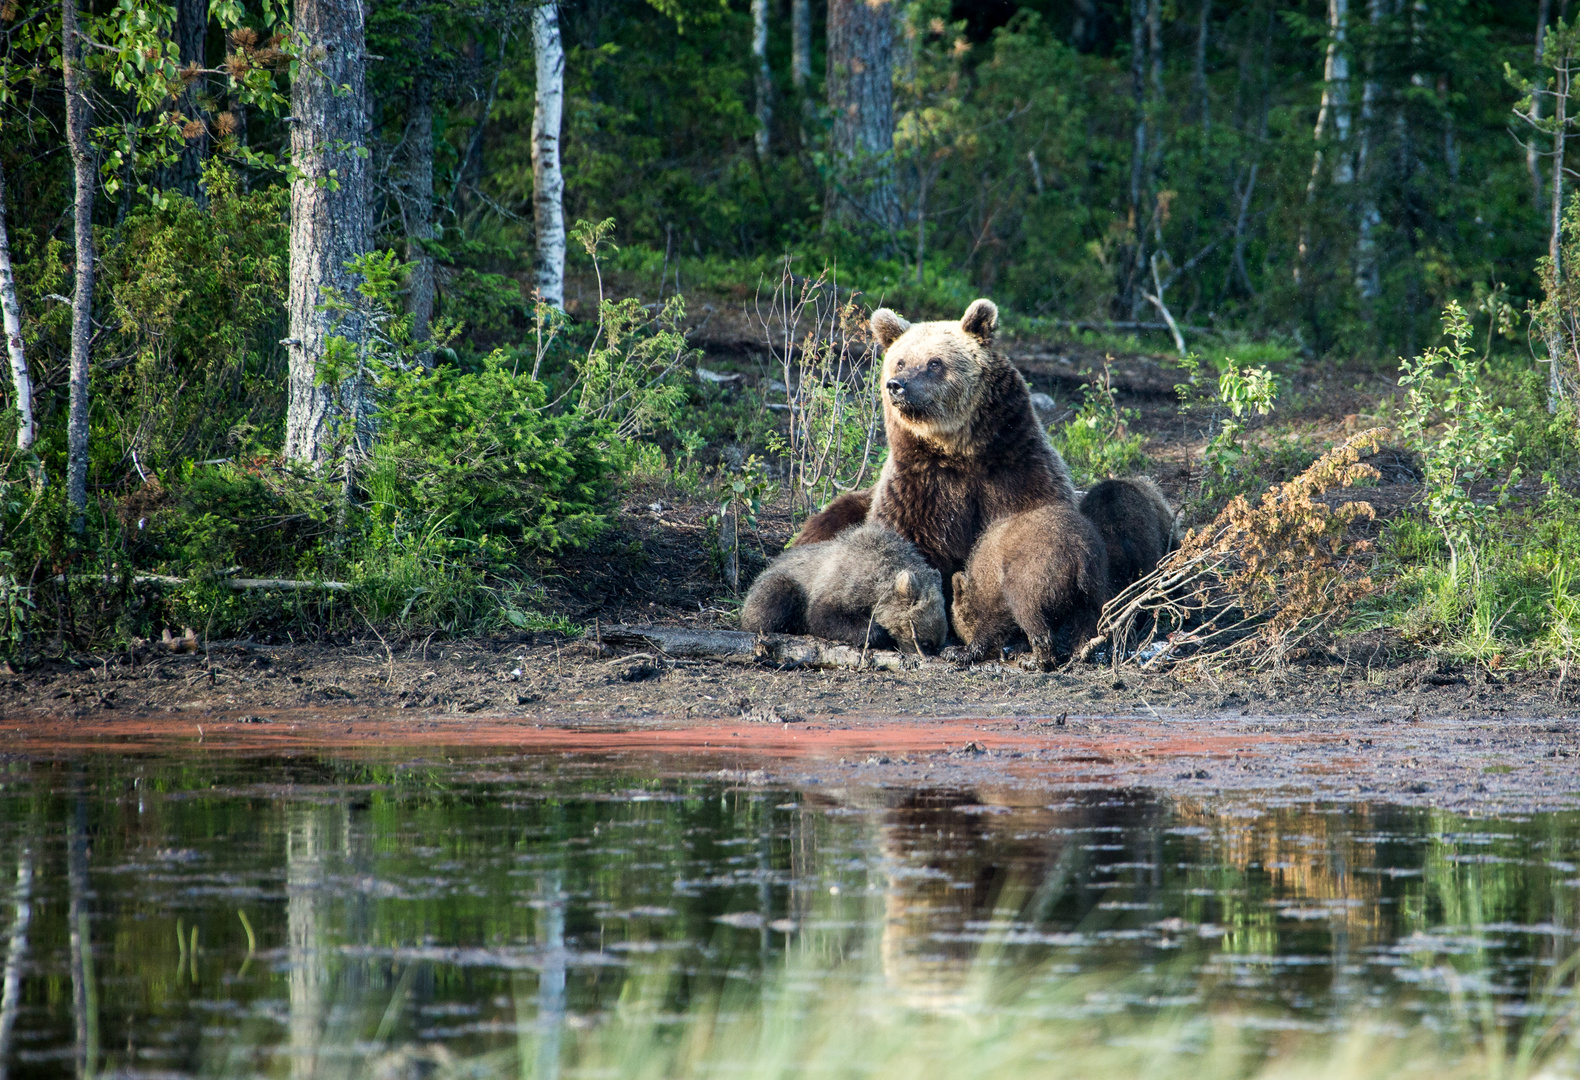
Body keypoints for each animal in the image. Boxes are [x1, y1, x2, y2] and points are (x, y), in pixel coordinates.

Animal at [742, 521, 948, 650]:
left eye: (938, 641)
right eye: (926, 642)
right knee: (774, 600)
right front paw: (879, 634)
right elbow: (824, 616)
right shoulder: (840, 583)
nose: (932, 648)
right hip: (781, 582)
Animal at [948, 505, 1112, 666]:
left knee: (1027, 608)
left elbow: (995, 618)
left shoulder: (994, 577)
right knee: (1087, 613)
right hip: (1093, 576)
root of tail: (1077, 548)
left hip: (1038, 566)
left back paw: (1035, 660)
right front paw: (1017, 648)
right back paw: (1078, 654)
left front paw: (960, 652)